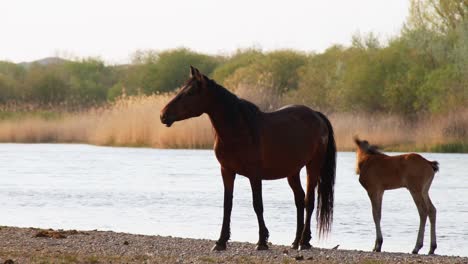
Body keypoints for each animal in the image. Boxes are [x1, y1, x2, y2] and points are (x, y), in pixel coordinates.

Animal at [161, 66, 336, 252]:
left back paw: (303, 241)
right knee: (299, 200)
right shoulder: (227, 171)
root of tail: (316, 115)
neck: (240, 130)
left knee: (309, 201)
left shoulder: (255, 175)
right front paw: (221, 241)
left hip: (313, 166)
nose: (163, 115)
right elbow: (227, 205)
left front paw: (262, 241)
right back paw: (296, 241)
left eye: (190, 92)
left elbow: (257, 205)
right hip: (292, 171)